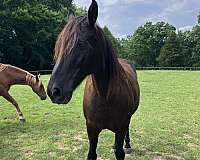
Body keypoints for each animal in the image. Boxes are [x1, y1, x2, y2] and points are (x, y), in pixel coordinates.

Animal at [47, 0, 140, 159]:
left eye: (81, 44)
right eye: (58, 45)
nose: (54, 91)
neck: (105, 96)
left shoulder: (121, 126)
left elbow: (120, 152)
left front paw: (123, 146)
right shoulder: (91, 129)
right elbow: (91, 154)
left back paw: (127, 144)